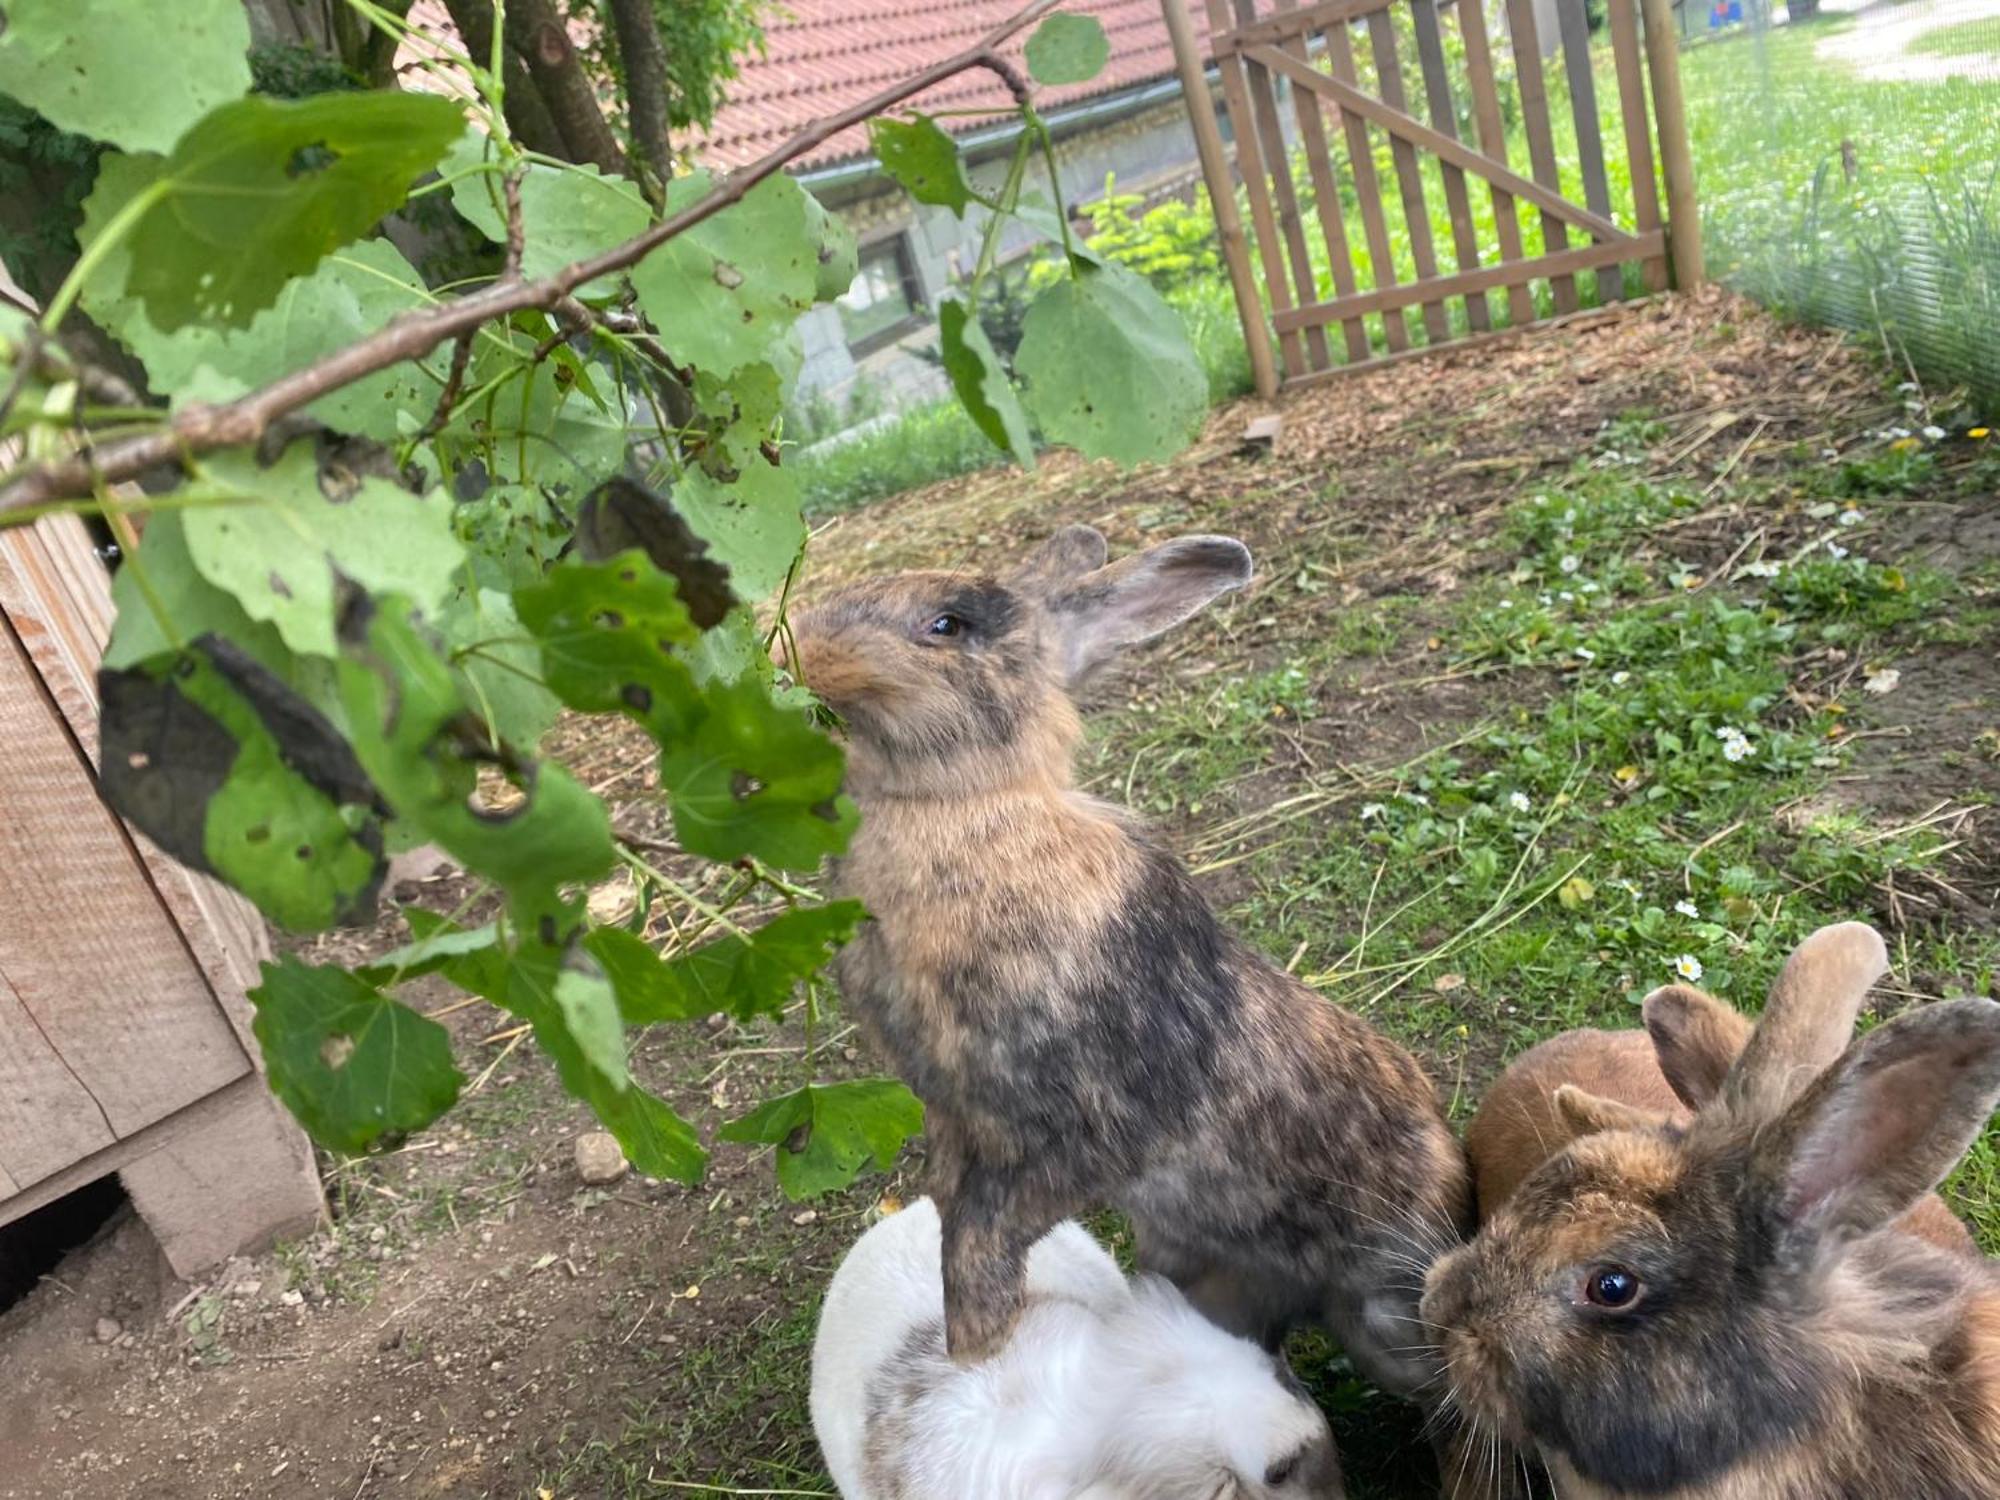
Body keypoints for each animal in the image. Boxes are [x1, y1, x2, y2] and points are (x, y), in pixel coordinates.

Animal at [780, 532, 1472, 1400]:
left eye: (947, 624)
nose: (793, 641)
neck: (962, 804)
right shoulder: (959, 1127)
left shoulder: (1068, 1138)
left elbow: (984, 1244)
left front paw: (977, 1348)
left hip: (1387, 1313)